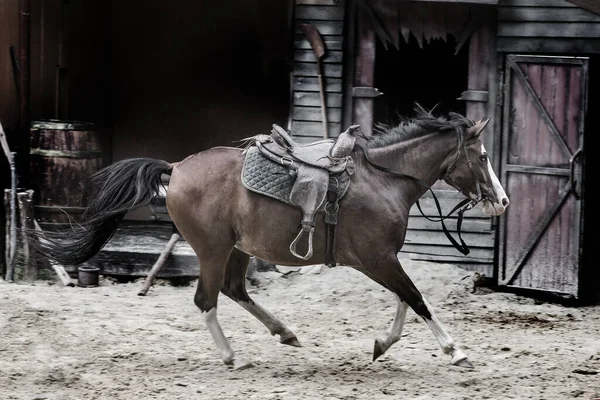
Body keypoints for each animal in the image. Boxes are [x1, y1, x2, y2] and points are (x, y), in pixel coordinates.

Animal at [37, 106, 508, 368]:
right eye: (484, 156)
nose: (502, 202)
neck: (383, 179)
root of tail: (176, 167)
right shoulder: (377, 259)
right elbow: (415, 299)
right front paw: (455, 350)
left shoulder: (383, 261)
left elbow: (405, 301)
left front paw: (381, 345)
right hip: (213, 249)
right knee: (207, 300)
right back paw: (232, 356)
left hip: (239, 249)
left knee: (234, 290)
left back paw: (285, 332)